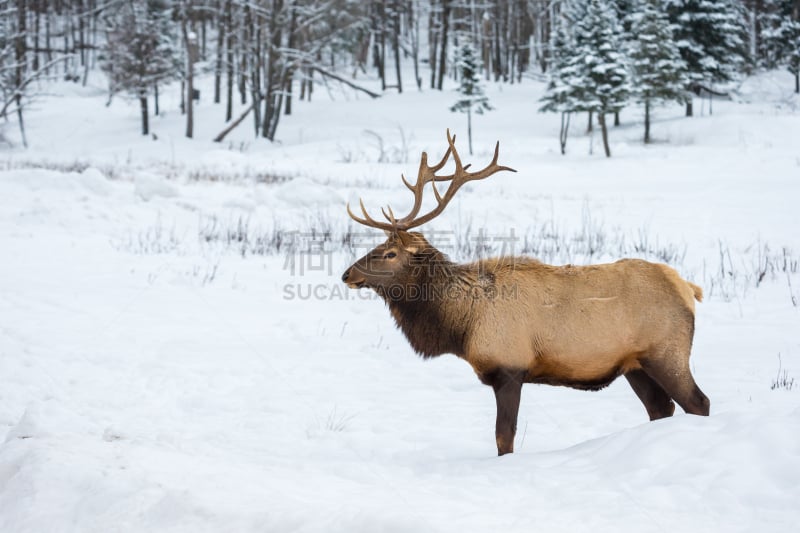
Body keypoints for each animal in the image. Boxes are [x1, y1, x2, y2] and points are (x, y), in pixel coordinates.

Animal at [340, 131, 708, 456]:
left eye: (390, 253)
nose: (347, 274)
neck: (462, 324)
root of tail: (687, 288)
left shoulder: (509, 369)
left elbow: (504, 437)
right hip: (635, 365)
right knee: (661, 408)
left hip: (667, 352)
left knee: (698, 402)